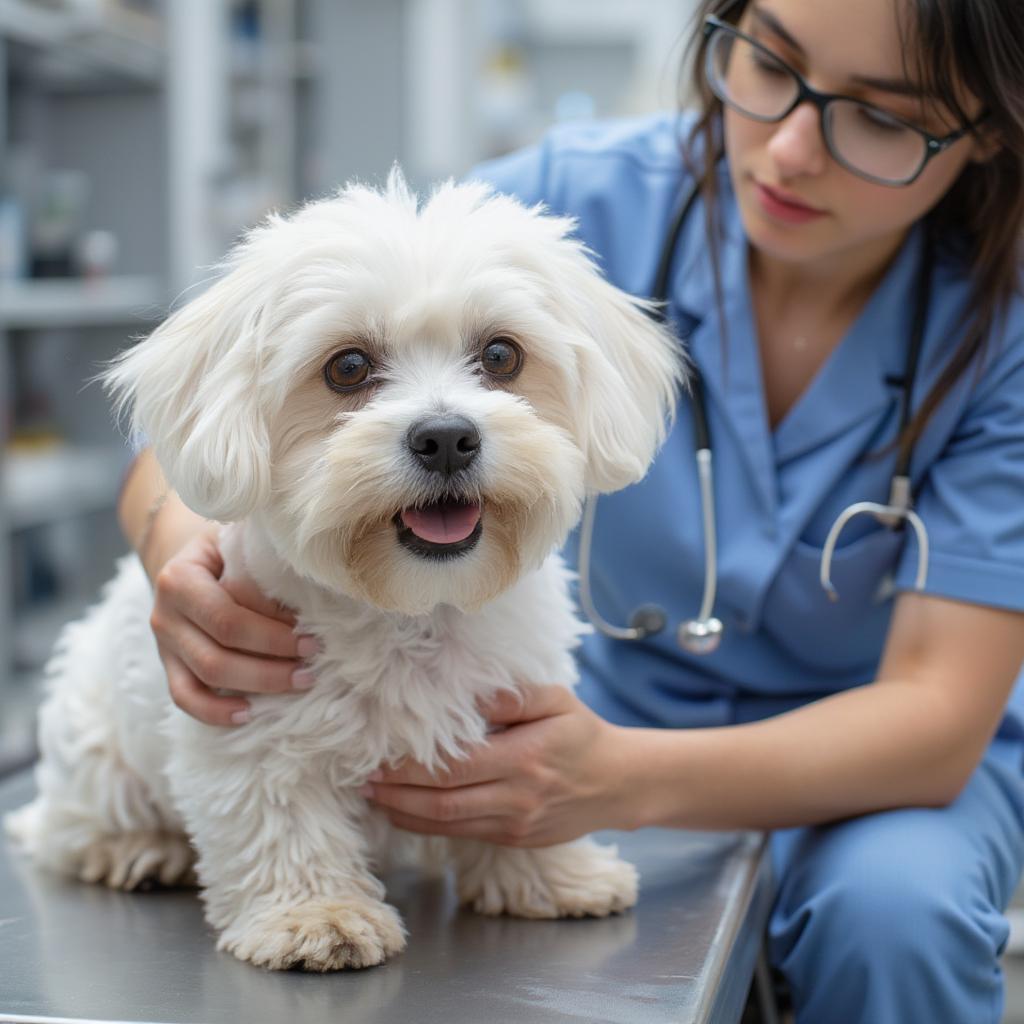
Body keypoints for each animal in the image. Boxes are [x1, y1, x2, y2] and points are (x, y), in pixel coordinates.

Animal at [8, 172, 684, 970]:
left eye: (500, 355)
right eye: (349, 367)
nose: (446, 437)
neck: (410, 610)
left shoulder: (517, 718)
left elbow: (524, 813)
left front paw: (550, 875)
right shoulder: (252, 726)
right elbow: (280, 818)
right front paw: (315, 915)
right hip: (92, 748)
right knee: (67, 828)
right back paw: (137, 848)